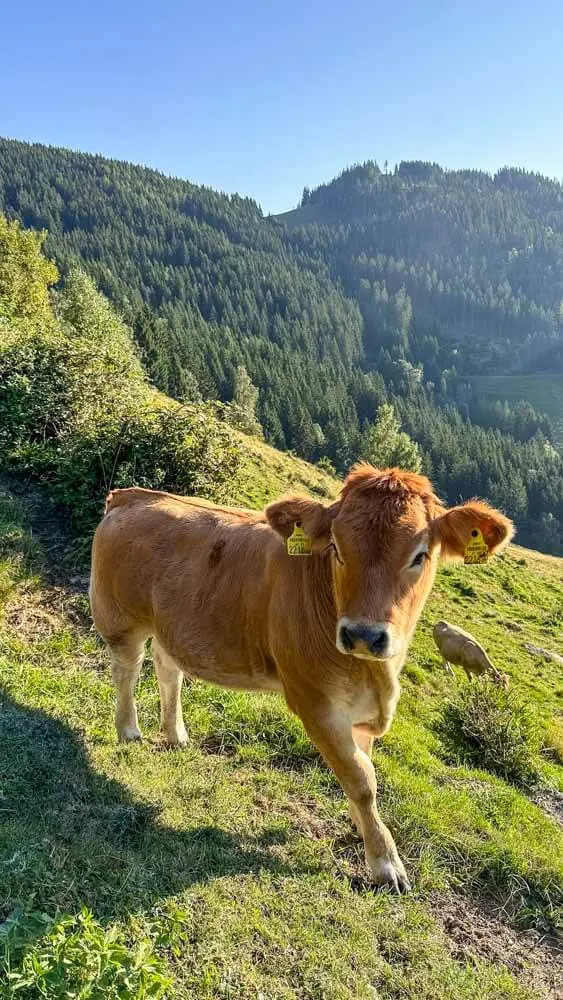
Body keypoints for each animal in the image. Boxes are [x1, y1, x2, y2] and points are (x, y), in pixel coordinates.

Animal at [89, 464, 516, 896]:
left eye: (419, 555)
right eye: (337, 548)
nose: (363, 635)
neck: (375, 677)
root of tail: (134, 496)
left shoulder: (362, 710)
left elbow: (364, 768)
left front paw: (360, 828)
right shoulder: (315, 703)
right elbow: (361, 779)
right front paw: (385, 862)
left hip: (171, 626)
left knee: (167, 669)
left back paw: (175, 734)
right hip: (120, 617)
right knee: (127, 669)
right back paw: (129, 730)